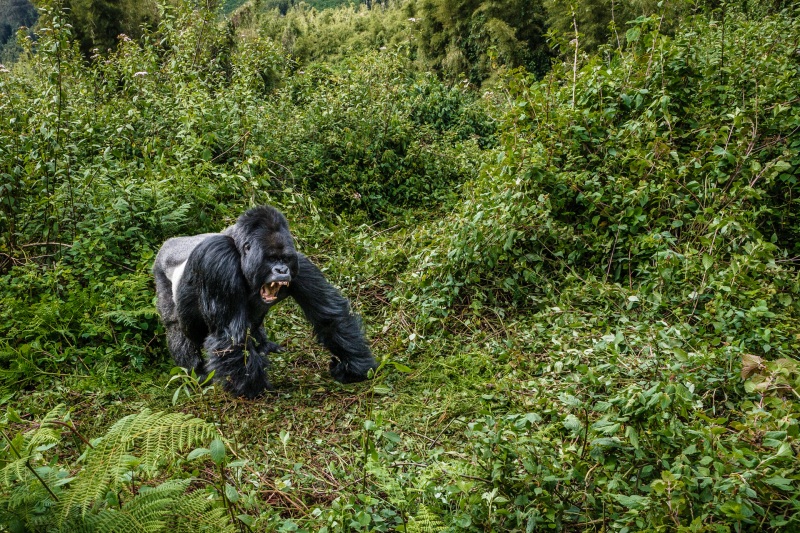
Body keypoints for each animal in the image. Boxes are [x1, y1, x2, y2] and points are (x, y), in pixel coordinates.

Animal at [153, 206, 378, 396]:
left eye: (284, 259)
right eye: (271, 258)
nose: (282, 270)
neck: (239, 252)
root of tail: (171, 241)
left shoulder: (300, 264)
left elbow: (330, 317)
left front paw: (352, 369)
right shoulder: (218, 259)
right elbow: (231, 334)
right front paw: (252, 387)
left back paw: (263, 344)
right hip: (160, 271)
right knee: (176, 328)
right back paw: (195, 373)